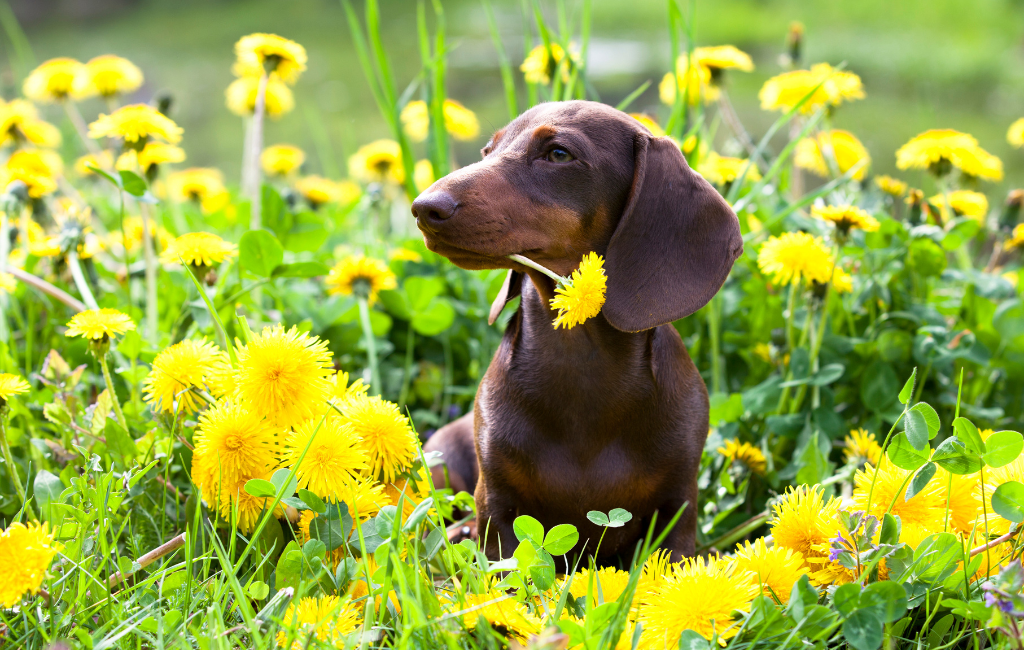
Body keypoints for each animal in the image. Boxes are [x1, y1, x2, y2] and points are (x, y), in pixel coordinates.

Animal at [411, 99, 741, 560]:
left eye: (558, 154)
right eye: (487, 151)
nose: (424, 208)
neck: (579, 364)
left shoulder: (678, 507)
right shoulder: (495, 504)